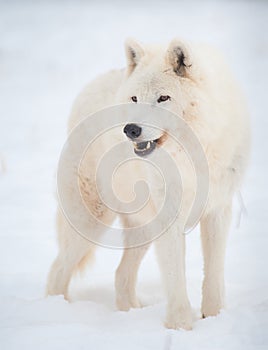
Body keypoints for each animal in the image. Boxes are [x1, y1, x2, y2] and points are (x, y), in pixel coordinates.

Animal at [47, 39, 250, 330]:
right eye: (135, 99)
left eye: (163, 98)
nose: (130, 129)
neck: (193, 154)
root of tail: (91, 85)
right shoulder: (170, 217)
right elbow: (176, 277)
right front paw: (180, 326)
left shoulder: (218, 210)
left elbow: (213, 273)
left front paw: (214, 317)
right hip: (90, 222)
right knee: (58, 270)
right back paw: (57, 311)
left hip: (141, 228)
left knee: (120, 274)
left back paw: (129, 312)